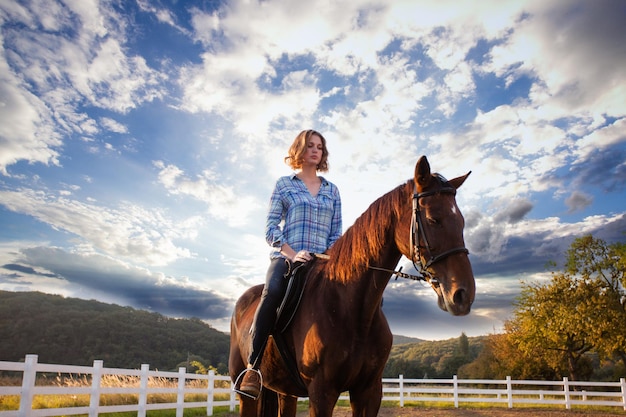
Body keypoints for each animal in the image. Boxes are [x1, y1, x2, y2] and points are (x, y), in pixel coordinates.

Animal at [229, 156, 472, 416]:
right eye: (433, 219)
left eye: (462, 222)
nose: (463, 295)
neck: (352, 309)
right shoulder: (321, 393)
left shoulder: (369, 391)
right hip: (245, 390)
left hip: (286, 392)